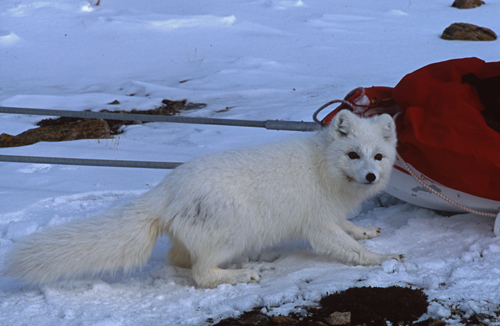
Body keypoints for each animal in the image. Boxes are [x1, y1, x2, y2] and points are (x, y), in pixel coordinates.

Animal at [3, 110, 402, 288]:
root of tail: (168, 187)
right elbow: (349, 249)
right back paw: (242, 273)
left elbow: (349, 229)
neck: (323, 168)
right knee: (200, 274)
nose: (370, 176)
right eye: (353, 155)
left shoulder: (331, 215)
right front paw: (381, 259)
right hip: (235, 230)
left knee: (179, 259)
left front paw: (366, 232)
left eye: (378, 157)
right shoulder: (317, 224)